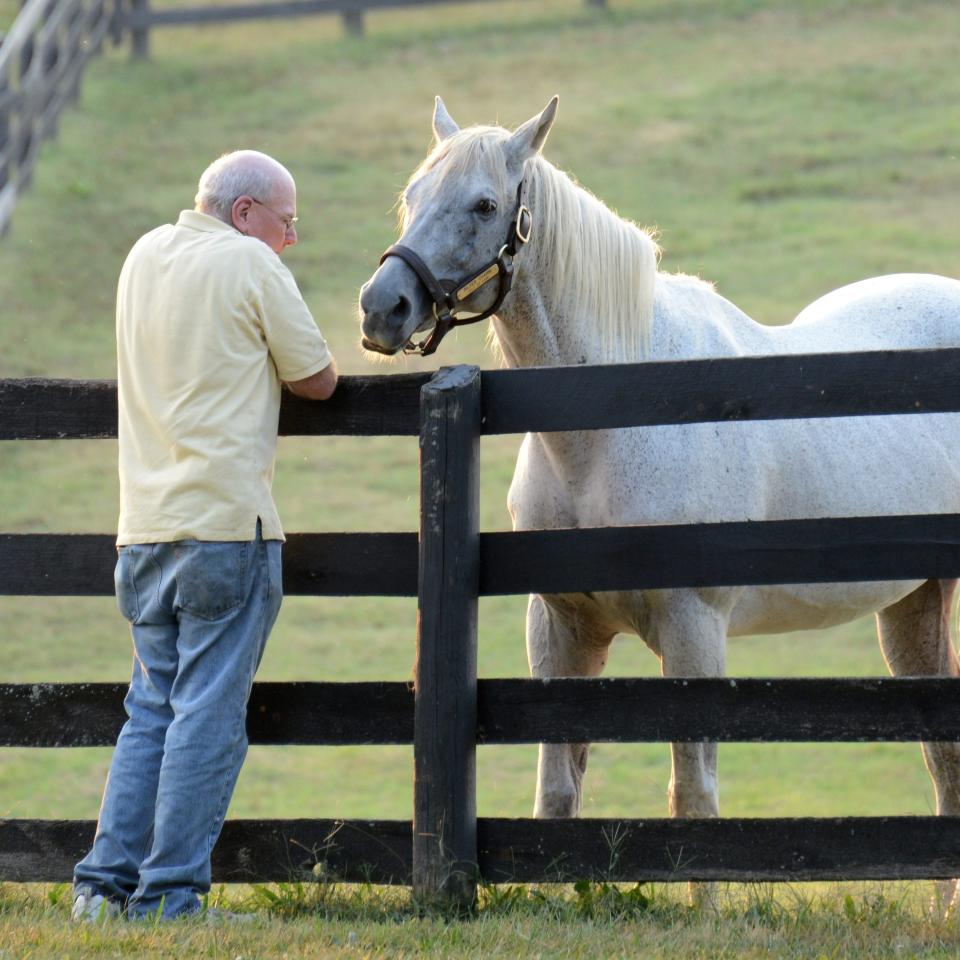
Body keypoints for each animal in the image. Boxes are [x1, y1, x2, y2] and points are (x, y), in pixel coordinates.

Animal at [360, 95, 960, 900]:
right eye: (413, 195)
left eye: (485, 204)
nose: (382, 307)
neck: (615, 419)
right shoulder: (560, 629)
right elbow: (559, 791)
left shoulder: (694, 631)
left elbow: (693, 795)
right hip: (913, 604)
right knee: (942, 758)